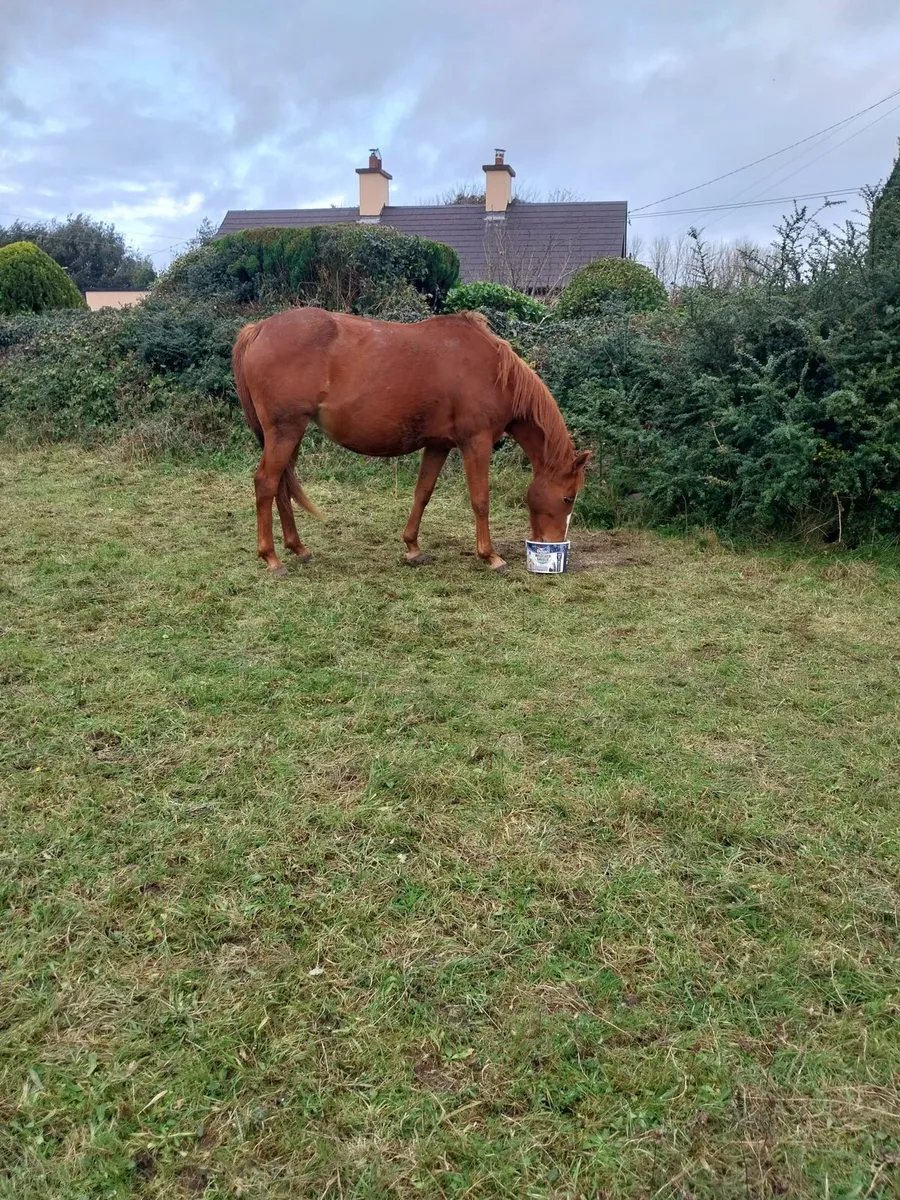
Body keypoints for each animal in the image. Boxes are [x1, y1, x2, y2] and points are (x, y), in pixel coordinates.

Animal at [232, 307, 591, 575]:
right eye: (568, 497)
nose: (553, 542)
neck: (494, 372)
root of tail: (258, 329)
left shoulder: (438, 444)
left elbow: (422, 493)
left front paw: (413, 548)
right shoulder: (476, 442)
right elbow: (480, 499)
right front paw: (490, 556)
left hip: (290, 433)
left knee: (282, 485)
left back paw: (298, 548)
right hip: (285, 431)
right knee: (266, 483)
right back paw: (272, 558)